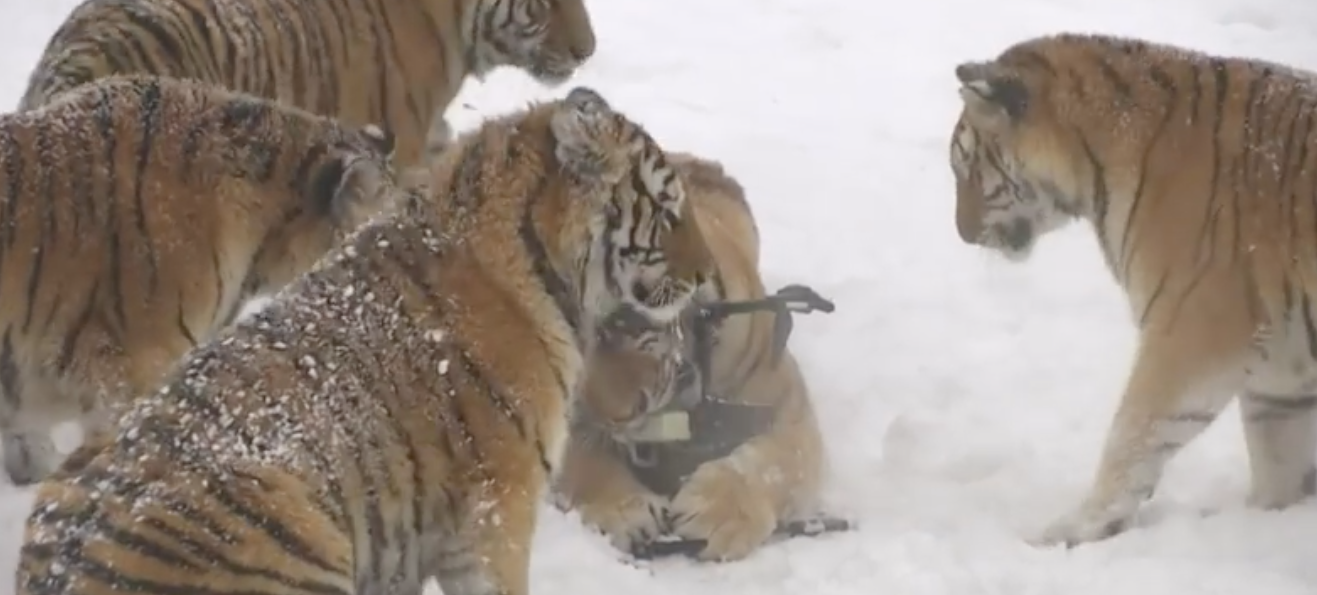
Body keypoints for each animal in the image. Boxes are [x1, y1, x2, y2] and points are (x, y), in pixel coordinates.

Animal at [553, 152, 827, 562]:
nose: (615, 417)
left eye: (622, 322)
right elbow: (581, 460)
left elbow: (775, 461)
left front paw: (718, 515)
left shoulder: (787, 400)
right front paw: (625, 510)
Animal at [949, 31, 1317, 548]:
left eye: (965, 167)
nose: (962, 233)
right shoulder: (1281, 376)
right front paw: (1269, 518)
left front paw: (1077, 528)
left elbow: (1134, 434)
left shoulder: (1193, 330)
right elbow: (1278, 461)